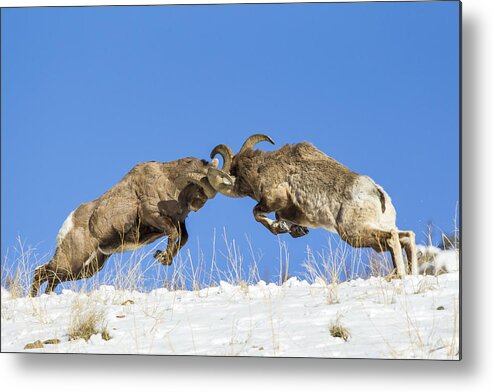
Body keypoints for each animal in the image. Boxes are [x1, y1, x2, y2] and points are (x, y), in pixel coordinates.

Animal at [29, 158, 215, 296]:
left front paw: (163, 258)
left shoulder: (178, 222)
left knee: (52, 280)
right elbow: (174, 234)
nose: (199, 204)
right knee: (41, 273)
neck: (168, 181)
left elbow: (183, 238)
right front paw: (162, 257)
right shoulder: (154, 216)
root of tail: (70, 221)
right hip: (72, 262)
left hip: (88, 268)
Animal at [206, 136, 418, 278]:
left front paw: (280, 228)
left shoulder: (274, 200)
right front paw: (294, 230)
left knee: (393, 238)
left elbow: (258, 213)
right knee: (406, 236)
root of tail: (377, 193)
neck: (260, 168)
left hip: (353, 233)